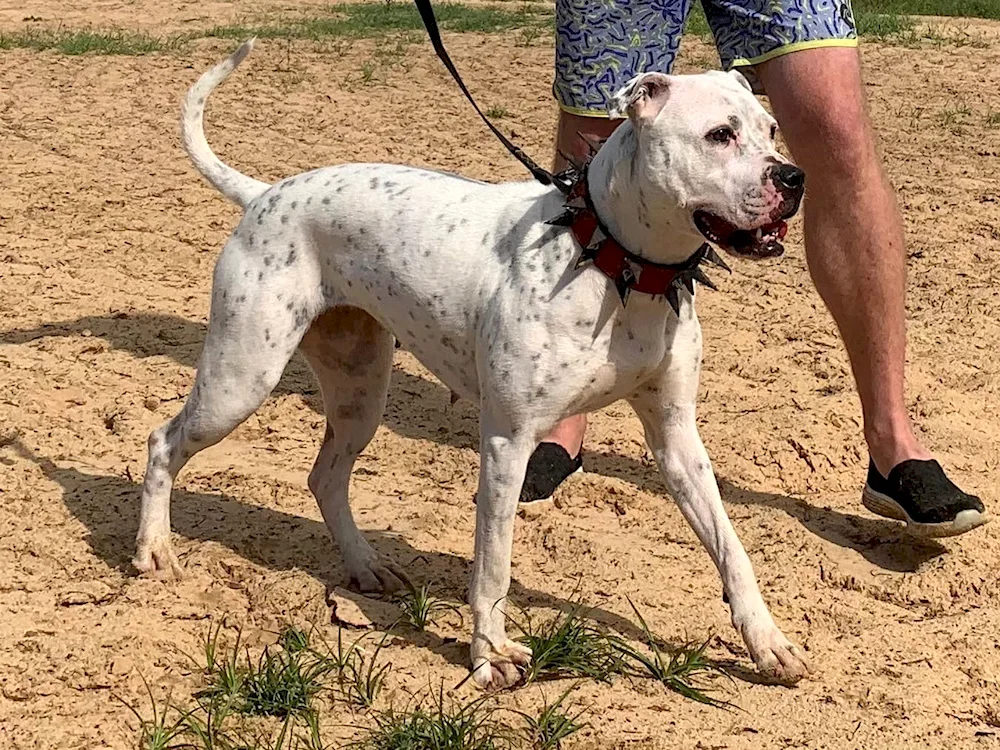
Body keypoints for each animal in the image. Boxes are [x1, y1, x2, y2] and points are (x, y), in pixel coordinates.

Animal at [133, 39, 808, 688]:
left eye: (772, 129)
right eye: (719, 135)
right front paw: (491, 655)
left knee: (325, 477)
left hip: (359, 392)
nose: (794, 176)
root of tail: (265, 195)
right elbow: (494, 563)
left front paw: (767, 643)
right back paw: (153, 550)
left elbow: (731, 548)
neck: (617, 263)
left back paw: (365, 568)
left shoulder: (676, 438)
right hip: (241, 378)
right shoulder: (508, 442)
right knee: (164, 442)